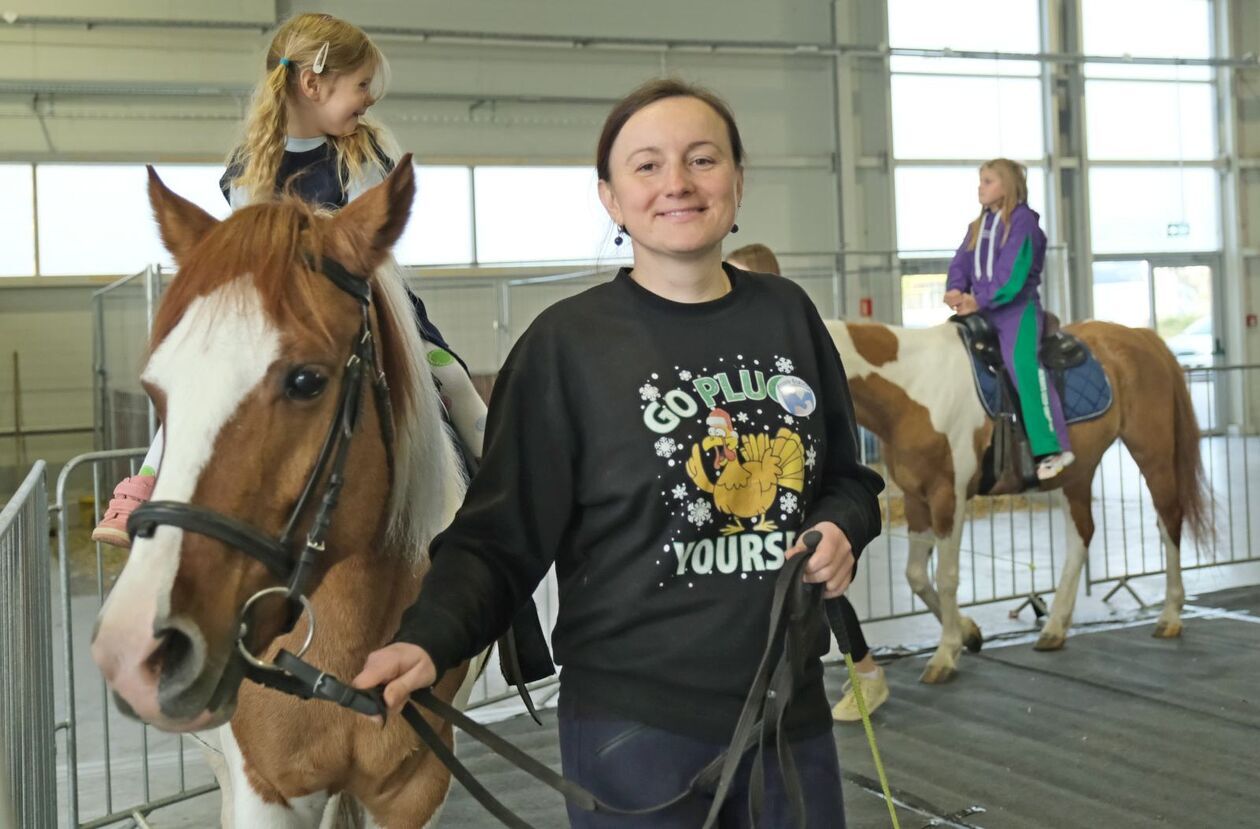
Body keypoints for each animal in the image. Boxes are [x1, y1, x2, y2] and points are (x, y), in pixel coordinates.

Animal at [826, 316, 1209, 680]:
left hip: (1152, 451)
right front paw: (969, 633)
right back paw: (1055, 627)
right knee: (1082, 534)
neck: (915, 385)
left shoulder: (948, 497)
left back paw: (1170, 616)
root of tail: (1142, 336)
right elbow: (916, 576)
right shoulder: (916, 499)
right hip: (1078, 472)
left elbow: (947, 578)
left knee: (1169, 521)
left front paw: (946, 654)